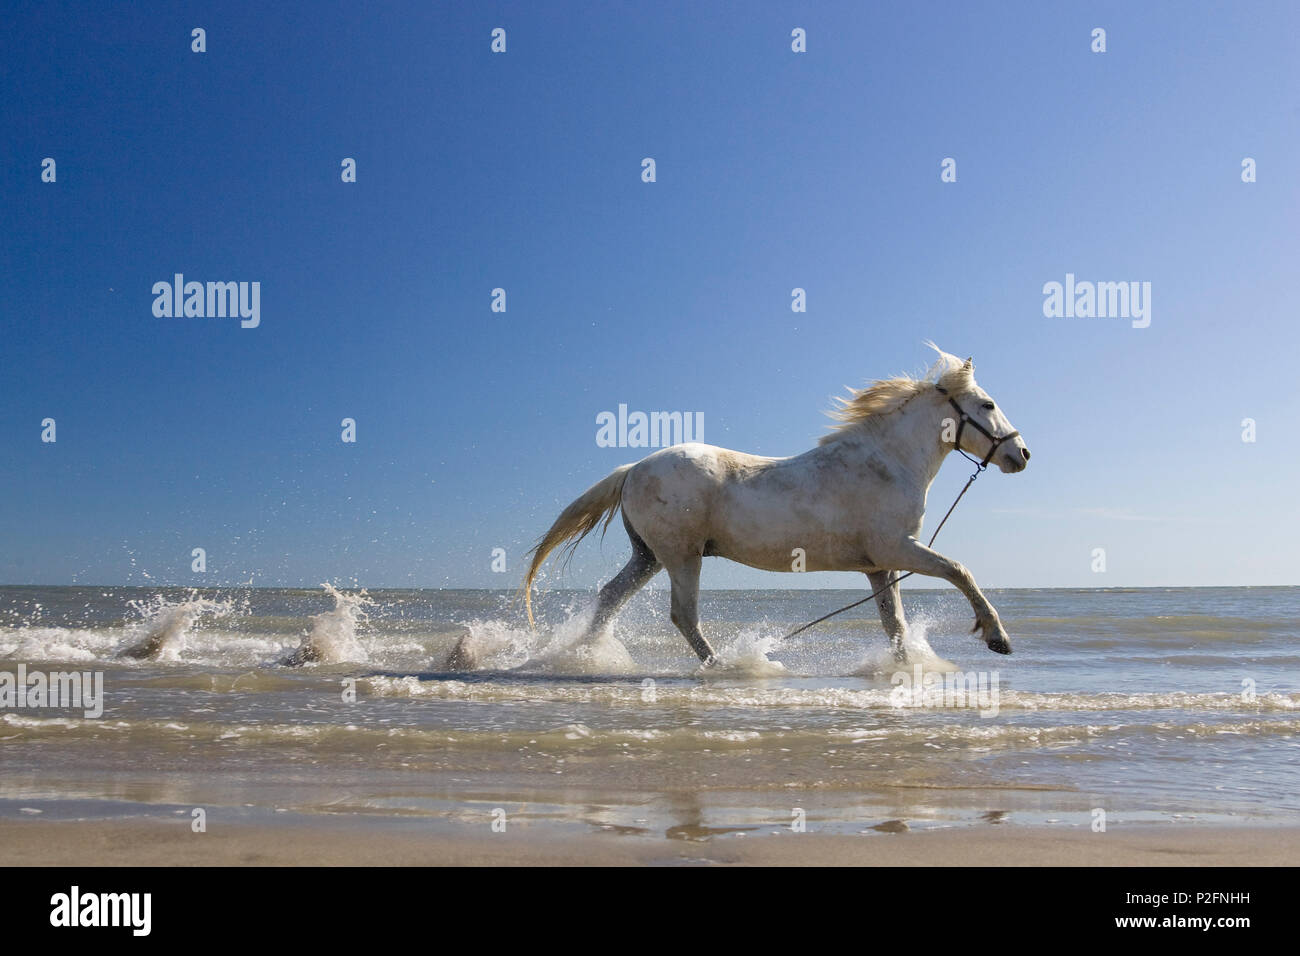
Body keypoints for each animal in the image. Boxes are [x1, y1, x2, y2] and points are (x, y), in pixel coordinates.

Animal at [514, 348, 1024, 671]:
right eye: (988, 404)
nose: (1021, 455)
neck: (886, 461)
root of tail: (634, 468)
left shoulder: (878, 566)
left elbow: (893, 624)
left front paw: (903, 667)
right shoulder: (898, 549)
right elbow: (959, 570)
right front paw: (996, 637)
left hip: (649, 556)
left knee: (609, 600)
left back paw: (580, 656)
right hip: (682, 556)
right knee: (683, 615)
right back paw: (726, 667)